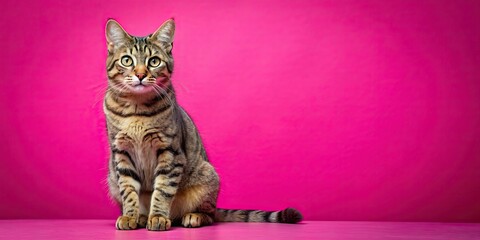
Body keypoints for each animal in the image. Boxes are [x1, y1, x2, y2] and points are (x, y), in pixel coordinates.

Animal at [103, 19, 302, 231]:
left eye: (154, 61)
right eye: (127, 60)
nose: (140, 74)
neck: (137, 109)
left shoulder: (170, 152)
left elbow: (163, 190)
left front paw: (157, 216)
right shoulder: (121, 154)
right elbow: (128, 189)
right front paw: (130, 216)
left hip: (207, 177)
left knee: (209, 215)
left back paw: (192, 217)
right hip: (111, 179)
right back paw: (141, 216)